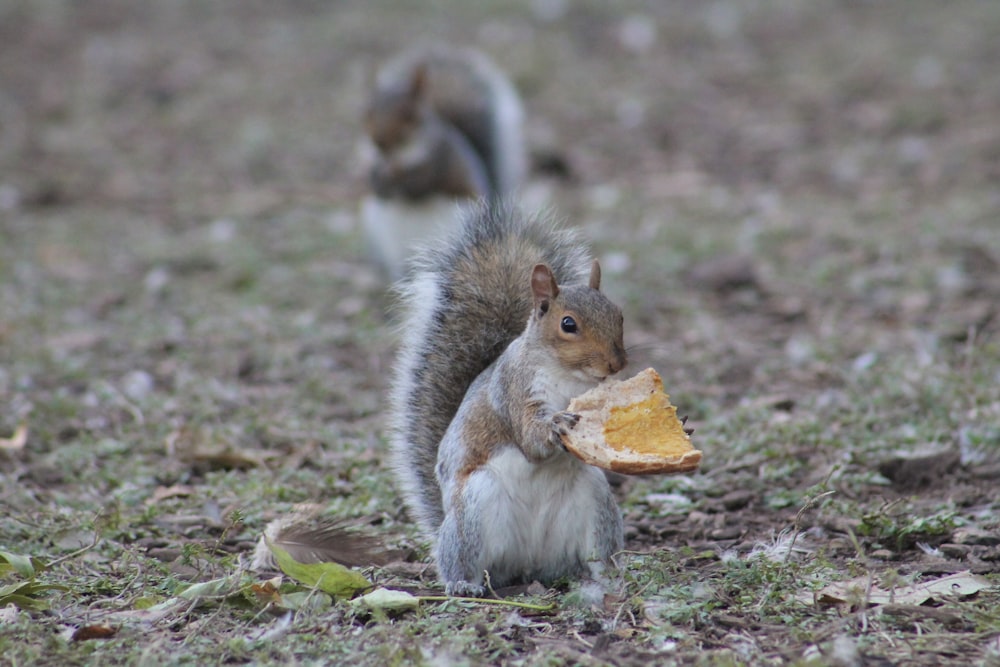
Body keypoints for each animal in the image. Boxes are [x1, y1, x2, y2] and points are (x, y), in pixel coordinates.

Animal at [362, 44, 532, 280]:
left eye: (409, 115)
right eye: (368, 110)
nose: (379, 142)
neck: (399, 157)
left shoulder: (438, 161)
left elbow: (419, 186)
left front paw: (399, 183)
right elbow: (374, 180)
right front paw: (380, 184)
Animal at [388, 202, 624, 596]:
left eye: (619, 315)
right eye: (568, 324)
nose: (616, 364)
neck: (570, 377)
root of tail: (528, 564)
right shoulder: (515, 392)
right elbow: (530, 440)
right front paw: (556, 424)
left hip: (596, 503)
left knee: (593, 555)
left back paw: (605, 575)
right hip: (473, 511)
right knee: (464, 562)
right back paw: (463, 585)